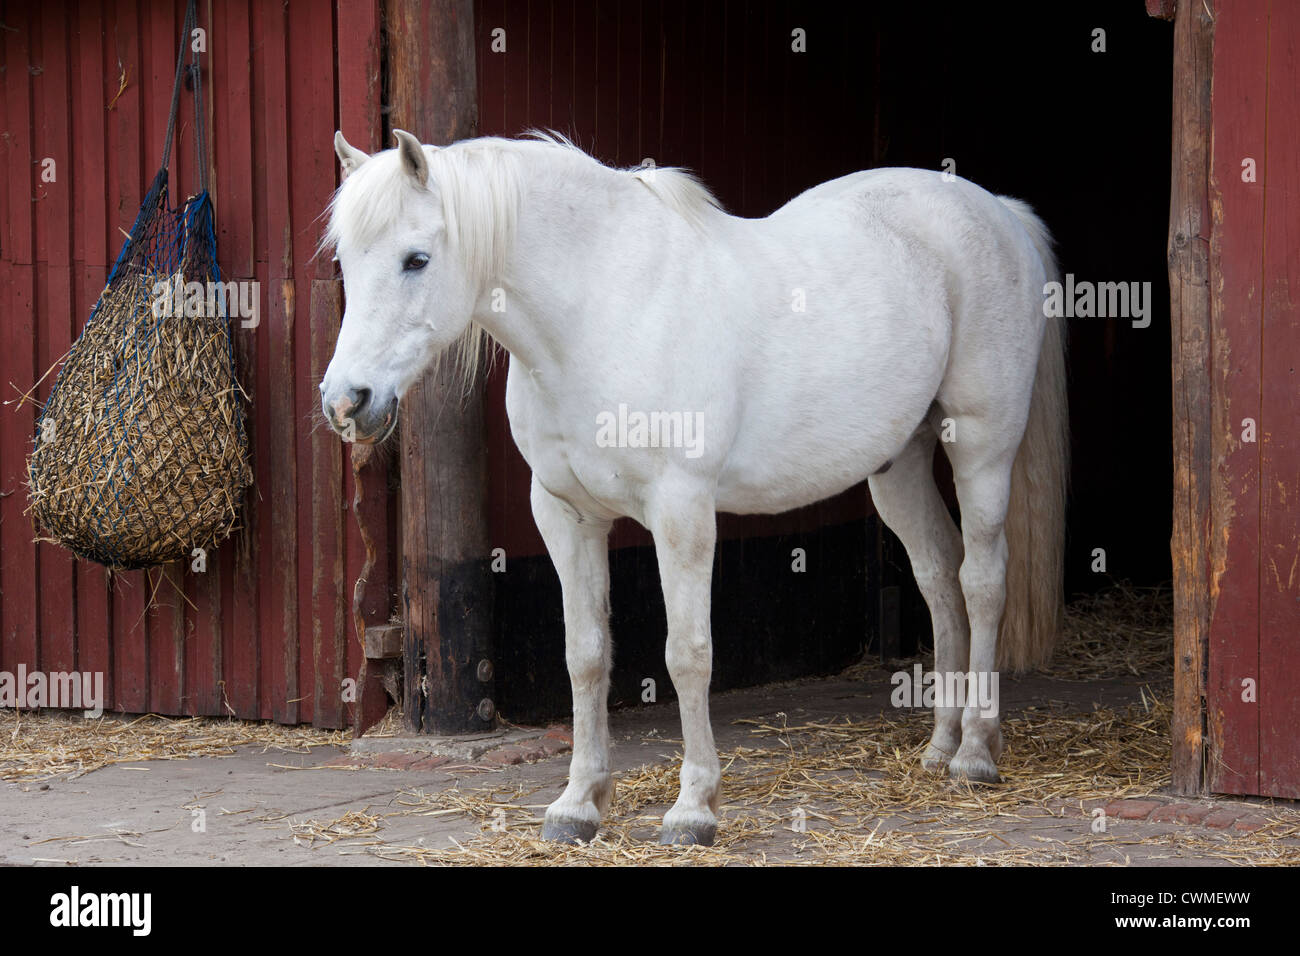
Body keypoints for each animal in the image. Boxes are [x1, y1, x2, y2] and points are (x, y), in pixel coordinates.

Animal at [320, 128, 1068, 846]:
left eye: (416, 259)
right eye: (345, 262)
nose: (346, 401)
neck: (602, 310)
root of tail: (1000, 211)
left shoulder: (681, 509)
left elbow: (687, 655)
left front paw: (694, 809)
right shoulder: (565, 514)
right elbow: (585, 656)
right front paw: (577, 805)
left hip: (981, 447)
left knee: (982, 580)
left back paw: (975, 752)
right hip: (900, 464)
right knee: (940, 577)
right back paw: (940, 746)